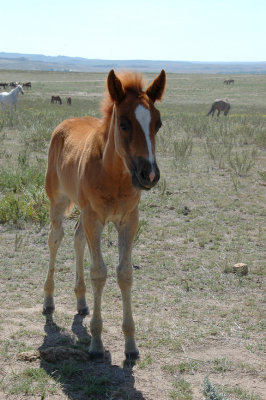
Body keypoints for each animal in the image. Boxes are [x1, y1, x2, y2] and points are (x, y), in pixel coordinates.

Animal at [43, 68, 166, 360]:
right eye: (123, 123)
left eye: (158, 124)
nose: (149, 175)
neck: (114, 176)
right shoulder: (94, 219)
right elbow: (99, 272)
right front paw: (97, 343)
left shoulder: (129, 220)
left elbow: (125, 274)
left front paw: (131, 344)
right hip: (58, 200)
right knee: (56, 238)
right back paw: (49, 301)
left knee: (77, 239)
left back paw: (81, 302)